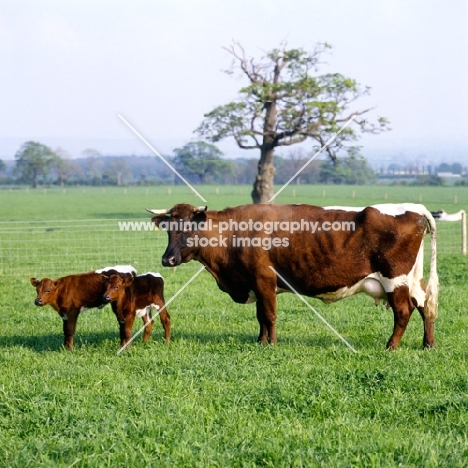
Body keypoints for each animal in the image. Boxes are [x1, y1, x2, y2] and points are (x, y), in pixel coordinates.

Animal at [149, 203, 438, 350]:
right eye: (169, 229)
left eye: (188, 227)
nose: (167, 260)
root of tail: (414, 207)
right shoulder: (257, 284)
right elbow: (260, 316)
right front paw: (260, 341)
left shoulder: (264, 280)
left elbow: (269, 315)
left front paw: (272, 344)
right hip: (413, 279)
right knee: (425, 307)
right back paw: (428, 344)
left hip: (394, 279)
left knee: (403, 312)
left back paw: (391, 345)